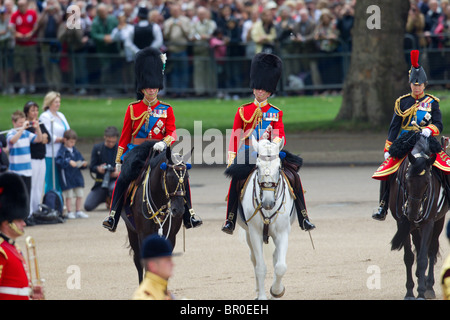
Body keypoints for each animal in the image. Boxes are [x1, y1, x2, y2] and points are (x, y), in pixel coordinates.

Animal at [120, 142, 191, 282]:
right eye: (169, 176)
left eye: (186, 177)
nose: (178, 210)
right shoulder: (144, 235)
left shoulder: (170, 236)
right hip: (132, 232)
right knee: (138, 262)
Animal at [237, 136, 298, 300]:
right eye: (257, 167)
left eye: (279, 167)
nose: (268, 203)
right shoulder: (255, 233)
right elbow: (260, 267)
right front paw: (263, 296)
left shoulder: (283, 233)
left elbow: (280, 266)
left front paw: (276, 291)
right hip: (248, 234)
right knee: (254, 259)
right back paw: (259, 291)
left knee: (276, 257)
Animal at [388, 131, 448, 298]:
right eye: (407, 179)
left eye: (427, 182)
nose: (413, 213)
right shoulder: (402, 223)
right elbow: (409, 257)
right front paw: (409, 291)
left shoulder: (429, 222)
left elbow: (422, 258)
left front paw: (422, 292)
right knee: (418, 243)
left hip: (438, 221)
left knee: (431, 249)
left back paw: (429, 285)